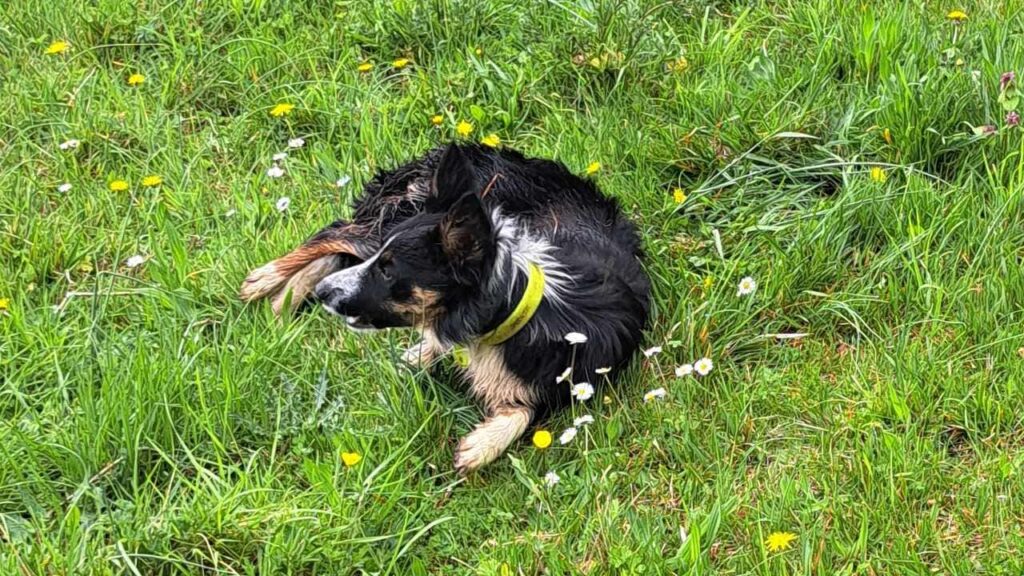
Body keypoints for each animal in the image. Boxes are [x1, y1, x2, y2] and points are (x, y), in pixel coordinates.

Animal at [239, 143, 647, 471]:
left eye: (389, 271)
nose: (325, 295)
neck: (518, 305)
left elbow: (523, 411)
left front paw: (479, 446)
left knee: (337, 251)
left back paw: (289, 296)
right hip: (385, 222)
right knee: (333, 233)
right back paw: (268, 279)